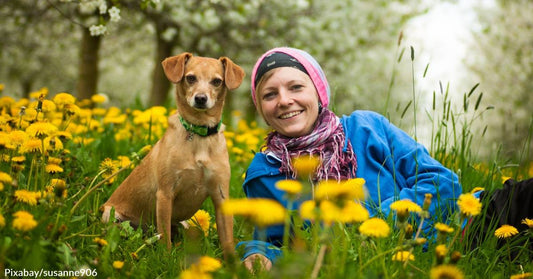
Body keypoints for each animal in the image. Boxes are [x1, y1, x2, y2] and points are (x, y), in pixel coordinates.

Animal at [101, 51, 244, 260]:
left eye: (217, 81)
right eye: (190, 78)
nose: (200, 98)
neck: (199, 135)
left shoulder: (221, 196)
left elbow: (227, 240)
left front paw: (234, 265)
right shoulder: (165, 193)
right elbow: (165, 238)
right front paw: (166, 259)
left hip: (189, 227)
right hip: (111, 216)